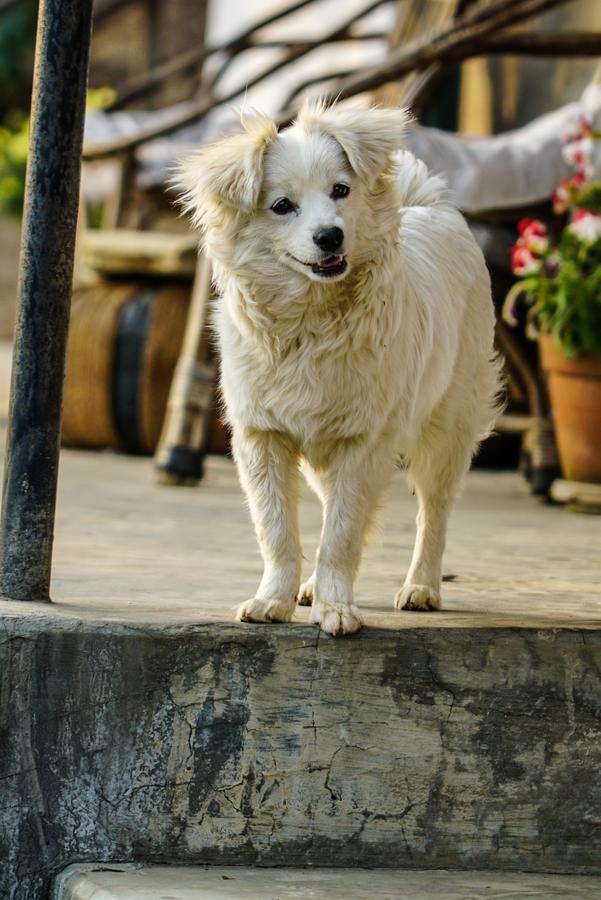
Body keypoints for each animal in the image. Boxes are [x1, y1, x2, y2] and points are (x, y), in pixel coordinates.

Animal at [179, 102, 502, 636]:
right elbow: (278, 531)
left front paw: (337, 610)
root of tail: (426, 204)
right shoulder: (263, 437)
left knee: (433, 513)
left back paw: (422, 588)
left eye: (341, 191)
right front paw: (275, 600)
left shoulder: (364, 442)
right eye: (281, 206)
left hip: (447, 429)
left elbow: (343, 534)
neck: (311, 319)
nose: (330, 235)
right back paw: (312, 587)